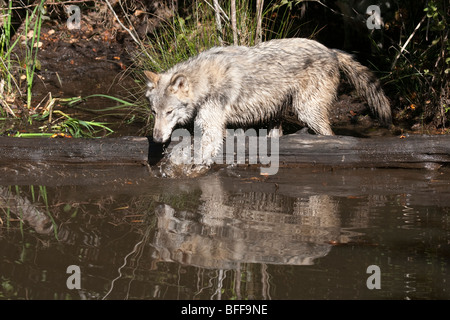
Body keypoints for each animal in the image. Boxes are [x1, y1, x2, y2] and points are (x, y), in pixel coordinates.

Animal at [144, 37, 390, 164]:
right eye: (154, 112)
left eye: (169, 112)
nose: (156, 139)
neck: (205, 81)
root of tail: (330, 50)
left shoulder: (211, 127)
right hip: (277, 115)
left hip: (307, 112)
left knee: (330, 136)